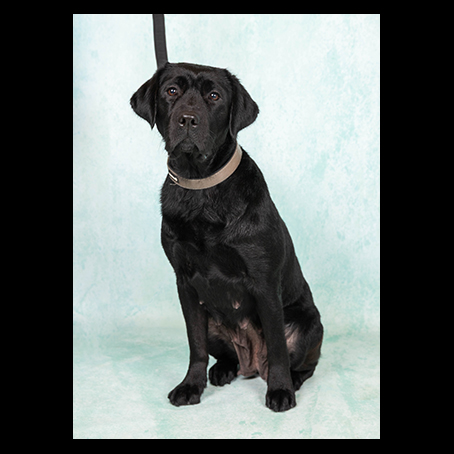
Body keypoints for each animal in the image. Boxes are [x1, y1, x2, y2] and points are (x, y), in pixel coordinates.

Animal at [130, 62, 323, 412]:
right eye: (171, 91)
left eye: (214, 96)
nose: (188, 119)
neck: (201, 190)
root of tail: (251, 364)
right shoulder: (185, 283)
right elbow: (195, 346)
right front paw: (191, 385)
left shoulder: (264, 282)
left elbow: (277, 347)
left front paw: (280, 390)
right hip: (213, 324)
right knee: (222, 355)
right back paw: (222, 370)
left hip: (309, 324)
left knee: (303, 362)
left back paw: (293, 379)